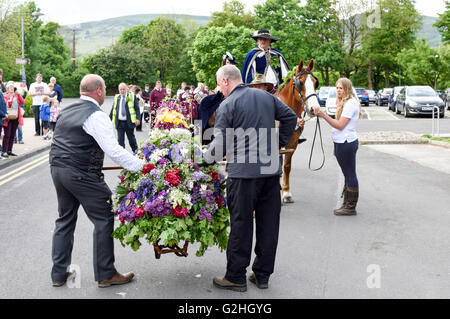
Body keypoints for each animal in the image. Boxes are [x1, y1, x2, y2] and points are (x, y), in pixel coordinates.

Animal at [276, 59, 322, 204]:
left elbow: (286, 166)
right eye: (300, 82)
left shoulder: (292, 143)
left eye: (315, 82)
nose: (315, 109)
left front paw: (285, 192)